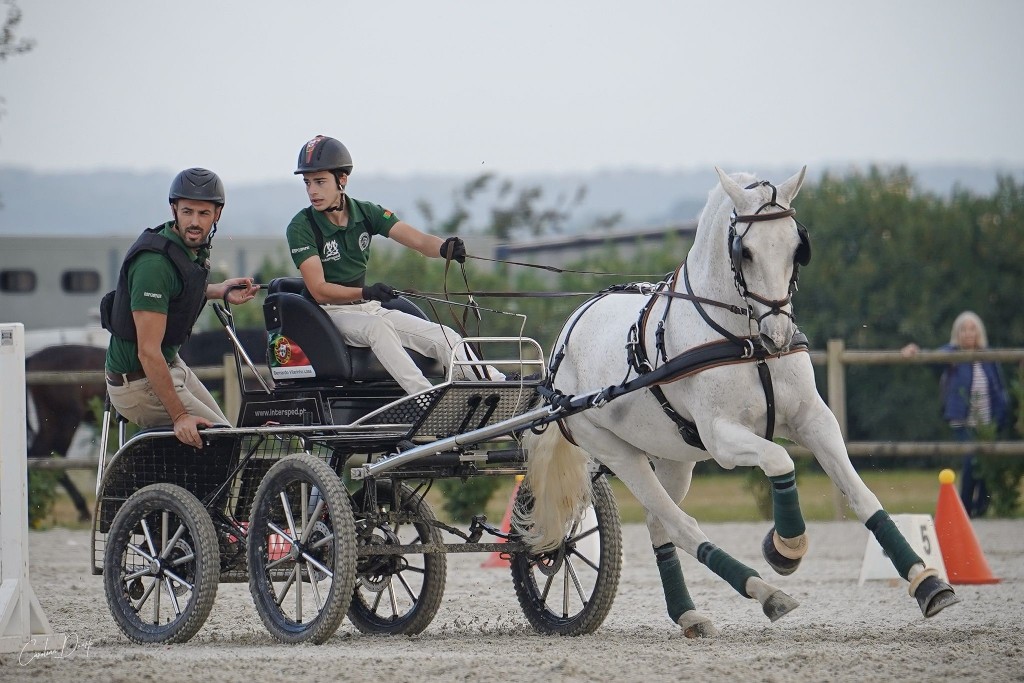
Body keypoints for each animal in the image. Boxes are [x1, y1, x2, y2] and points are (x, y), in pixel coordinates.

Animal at [520, 167, 958, 638]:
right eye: (744, 252)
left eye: (797, 247)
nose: (778, 336)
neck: (745, 343)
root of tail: (564, 339)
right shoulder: (722, 438)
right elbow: (781, 461)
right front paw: (786, 547)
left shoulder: (813, 420)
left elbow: (862, 495)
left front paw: (927, 582)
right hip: (617, 452)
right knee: (678, 522)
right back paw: (765, 592)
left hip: (674, 458)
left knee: (660, 525)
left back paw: (689, 613)